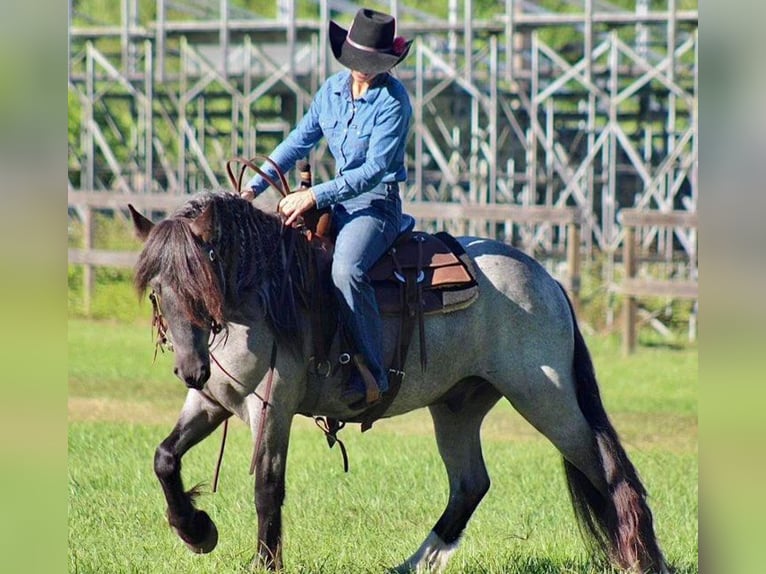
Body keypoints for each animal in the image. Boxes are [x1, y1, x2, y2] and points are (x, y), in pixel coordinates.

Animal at [129, 194, 668, 574]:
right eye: (157, 288)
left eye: (201, 282)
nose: (190, 369)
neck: (266, 296)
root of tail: (548, 281)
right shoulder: (211, 401)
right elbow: (164, 458)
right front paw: (196, 531)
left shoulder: (273, 409)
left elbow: (267, 485)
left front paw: (263, 562)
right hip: (458, 406)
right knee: (470, 485)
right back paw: (411, 564)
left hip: (545, 398)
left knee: (607, 470)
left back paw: (641, 559)